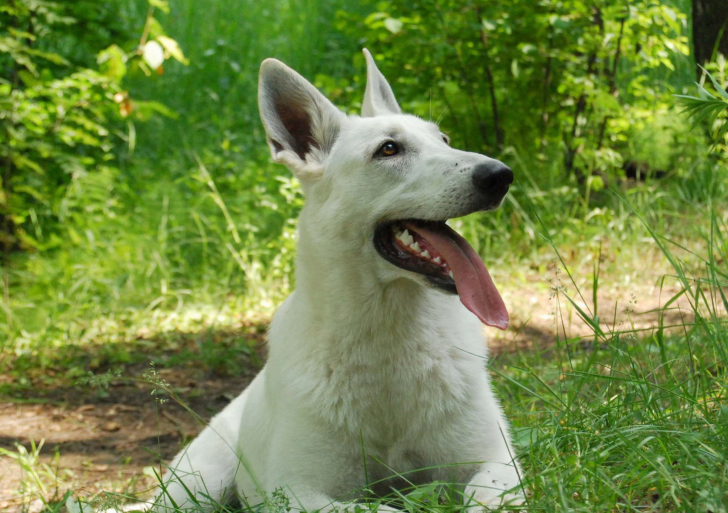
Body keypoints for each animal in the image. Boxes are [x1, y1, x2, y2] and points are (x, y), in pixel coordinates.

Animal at [129, 50, 524, 510]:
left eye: (443, 139)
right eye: (389, 149)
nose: (500, 175)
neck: (389, 338)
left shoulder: (497, 463)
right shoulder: (296, 491)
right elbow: (381, 506)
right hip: (198, 486)